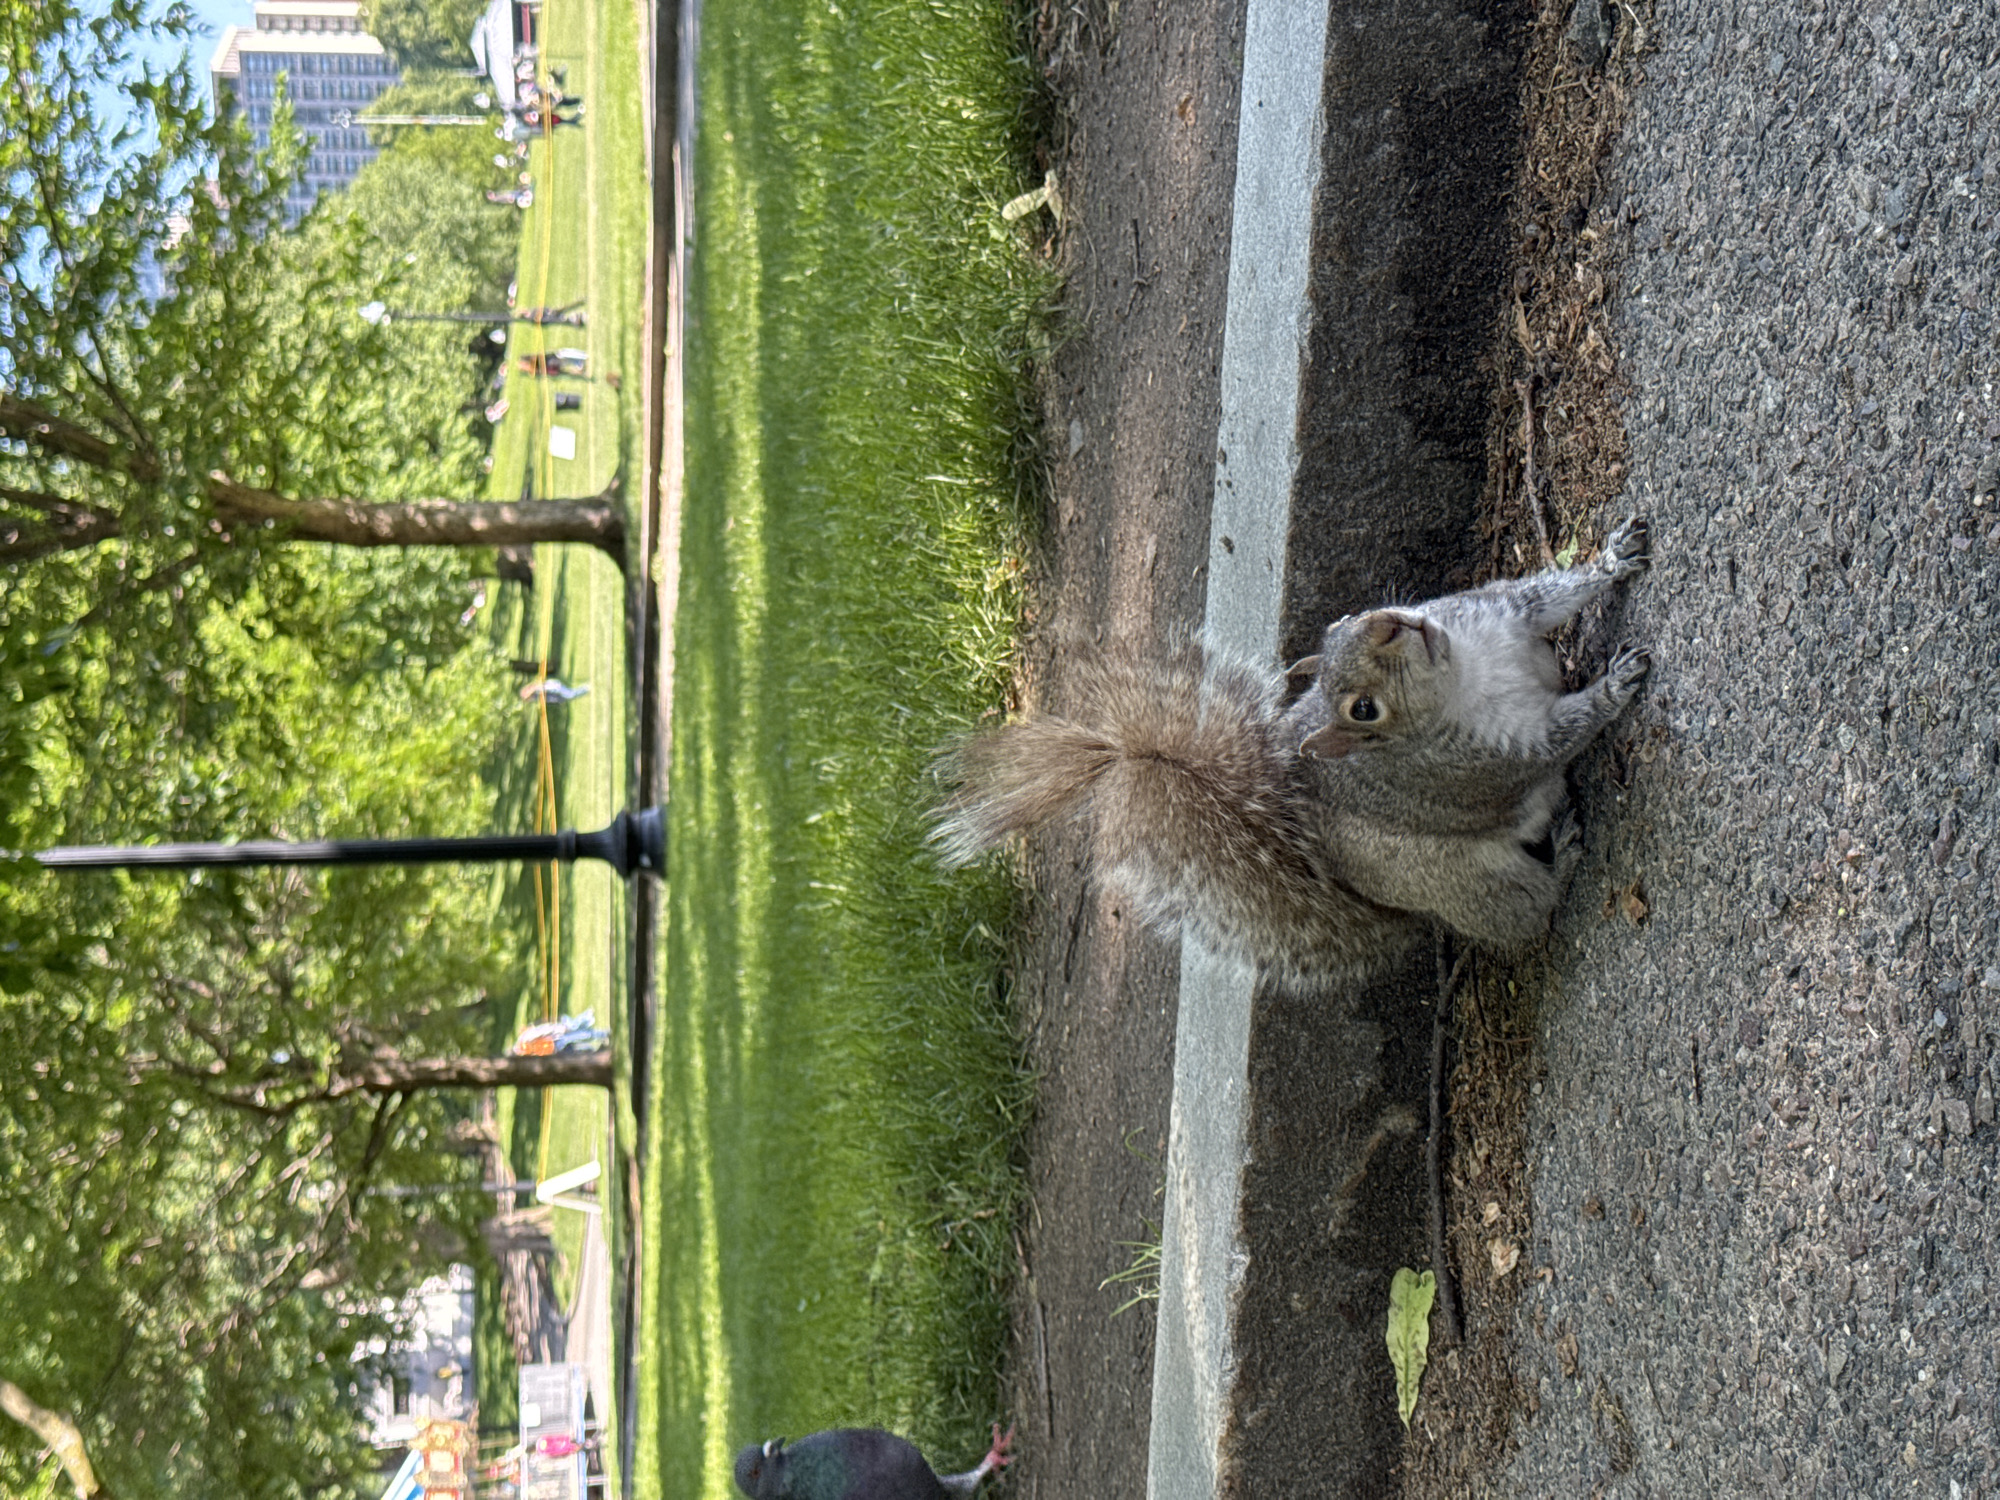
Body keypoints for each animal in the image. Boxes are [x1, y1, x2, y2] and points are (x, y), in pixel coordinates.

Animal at [929, 516, 1653, 987]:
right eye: (1363, 710)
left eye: (1346, 620)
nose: (1393, 624)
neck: (1465, 674)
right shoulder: (1473, 768)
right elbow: (1559, 739)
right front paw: (1615, 687)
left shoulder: (1498, 613)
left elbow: (1551, 594)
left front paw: (1615, 558)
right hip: (1467, 883)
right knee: (1526, 911)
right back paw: (1564, 856)